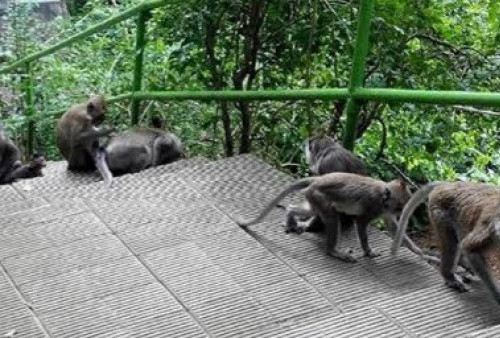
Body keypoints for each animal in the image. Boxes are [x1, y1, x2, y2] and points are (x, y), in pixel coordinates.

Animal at [238, 173, 410, 262]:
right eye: (400, 206)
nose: (400, 212)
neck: (383, 195)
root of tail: (318, 178)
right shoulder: (373, 206)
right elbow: (360, 223)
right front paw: (368, 251)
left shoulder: (383, 211)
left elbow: (393, 227)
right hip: (318, 196)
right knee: (332, 218)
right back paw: (333, 251)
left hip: (313, 196)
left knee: (310, 211)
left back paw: (290, 215)